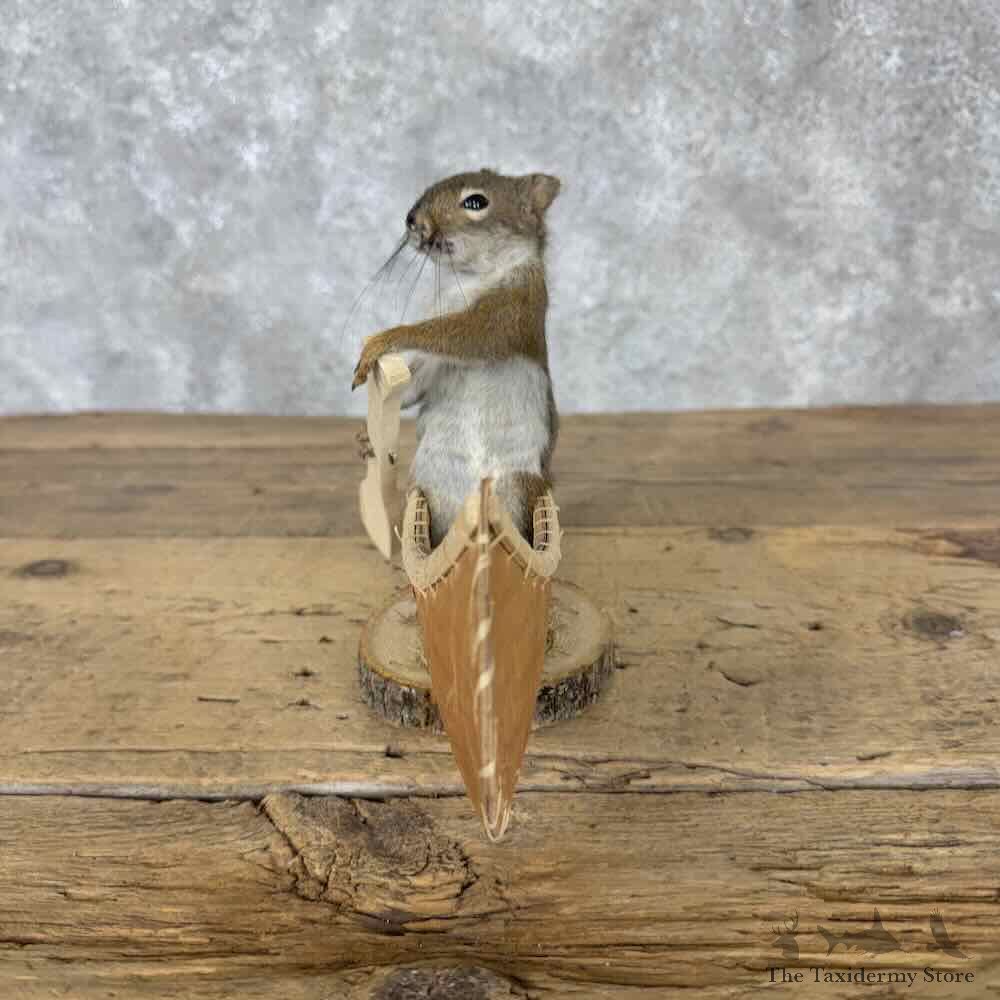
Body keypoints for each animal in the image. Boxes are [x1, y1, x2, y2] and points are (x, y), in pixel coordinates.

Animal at [352, 168, 561, 549]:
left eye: (475, 202)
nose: (412, 220)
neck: (469, 278)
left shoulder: (514, 311)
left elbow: (464, 335)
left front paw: (384, 338)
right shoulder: (436, 361)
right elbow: (414, 386)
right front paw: (365, 438)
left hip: (517, 486)